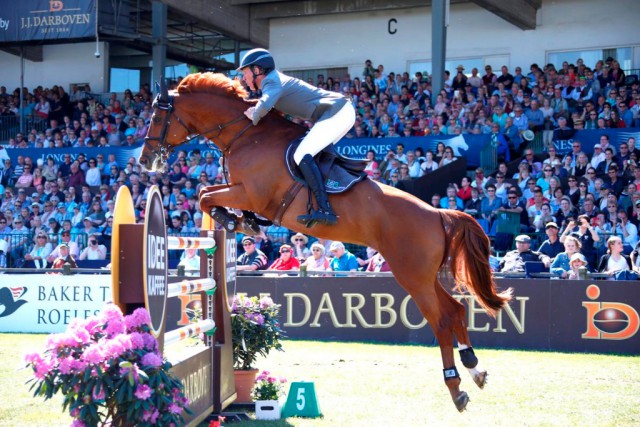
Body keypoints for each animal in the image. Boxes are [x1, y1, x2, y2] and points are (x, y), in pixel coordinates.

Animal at [139, 72, 510, 412]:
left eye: (157, 117)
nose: (145, 161)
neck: (247, 134)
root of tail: (437, 214)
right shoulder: (240, 191)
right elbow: (207, 193)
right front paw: (239, 221)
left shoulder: (250, 193)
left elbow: (204, 195)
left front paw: (233, 220)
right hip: (423, 276)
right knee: (456, 309)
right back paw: (475, 370)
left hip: (412, 277)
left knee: (442, 320)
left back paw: (456, 388)